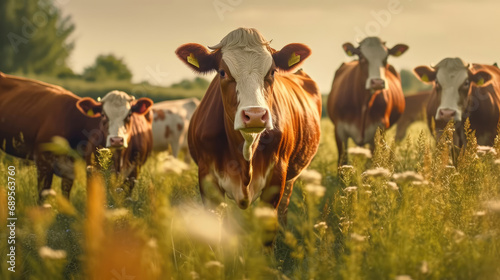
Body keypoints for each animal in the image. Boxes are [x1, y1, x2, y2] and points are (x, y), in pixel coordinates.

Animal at [328, 36, 406, 165]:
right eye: (362, 56)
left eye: (386, 57)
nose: (377, 82)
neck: (363, 102)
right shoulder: (339, 131)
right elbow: (343, 163)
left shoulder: (380, 131)